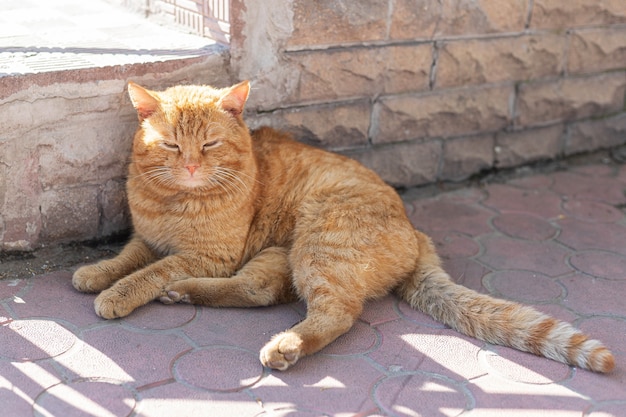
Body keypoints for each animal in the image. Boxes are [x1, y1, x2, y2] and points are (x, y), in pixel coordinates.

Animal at [70, 79, 612, 372]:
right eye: (170, 146)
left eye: (209, 146)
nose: (189, 166)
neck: (175, 201)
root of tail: (414, 229)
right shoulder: (148, 237)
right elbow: (128, 257)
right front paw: (97, 274)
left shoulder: (210, 254)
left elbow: (149, 272)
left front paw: (116, 294)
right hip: (278, 256)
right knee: (259, 292)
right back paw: (184, 294)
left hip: (320, 242)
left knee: (335, 313)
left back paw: (284, 346)